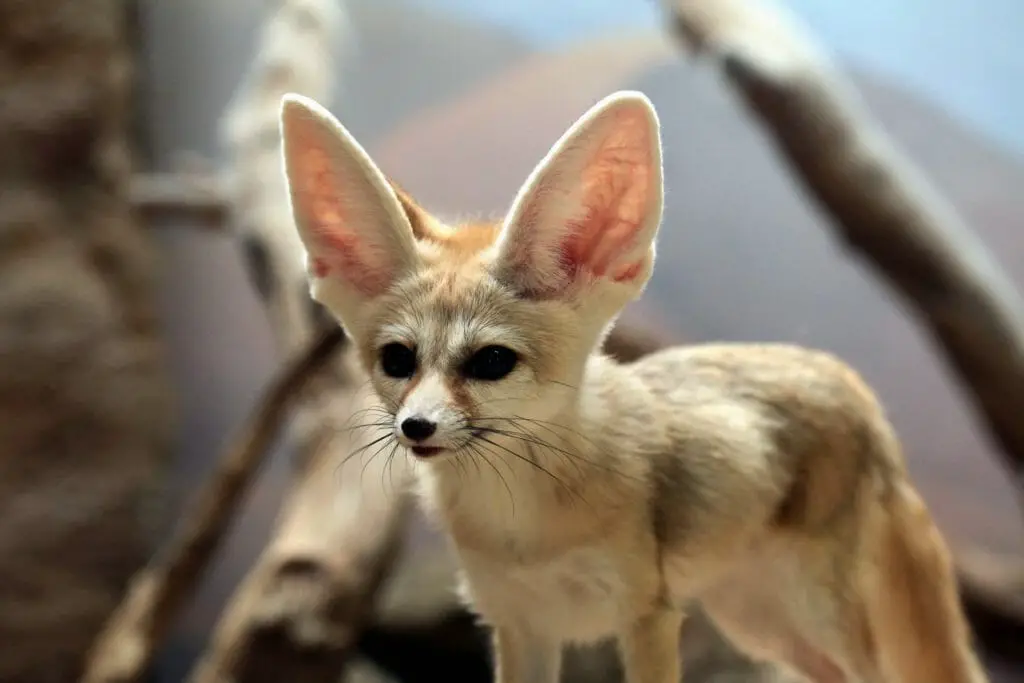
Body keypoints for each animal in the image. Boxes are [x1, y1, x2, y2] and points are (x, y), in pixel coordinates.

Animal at [275, 90, 989, 683]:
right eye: (398, 360)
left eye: (491, 362)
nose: (415, 426)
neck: (523, 527)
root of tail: (845, 376)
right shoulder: (520, 626)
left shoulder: (647, 615)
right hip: (760, 624)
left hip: (815, 616)